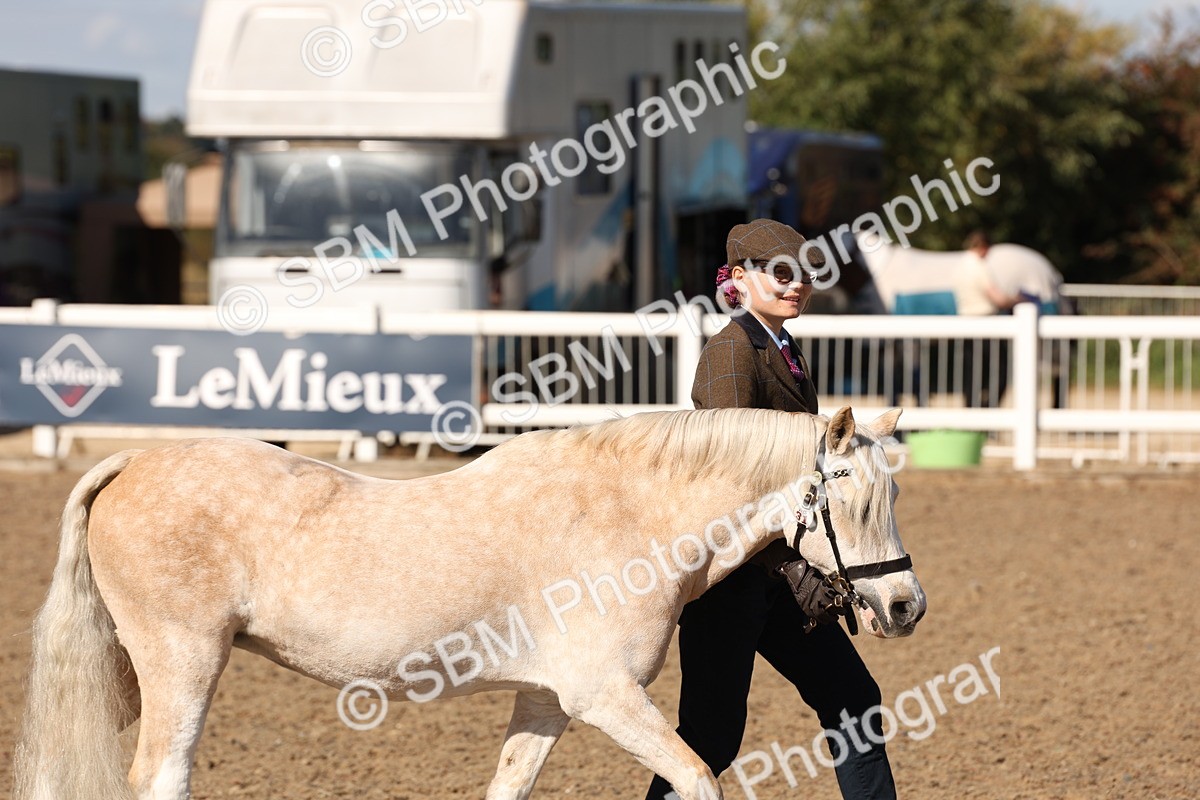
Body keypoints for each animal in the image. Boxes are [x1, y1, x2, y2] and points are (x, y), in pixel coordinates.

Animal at [14, 406, 925, 800]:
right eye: (851, 494)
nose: (906, 606)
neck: (626, 515)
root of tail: (132, 461)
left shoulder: (546, 703)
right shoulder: (606, 699)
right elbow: (700, 778)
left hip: (128, 673)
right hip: (183, 664)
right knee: (159, 776)